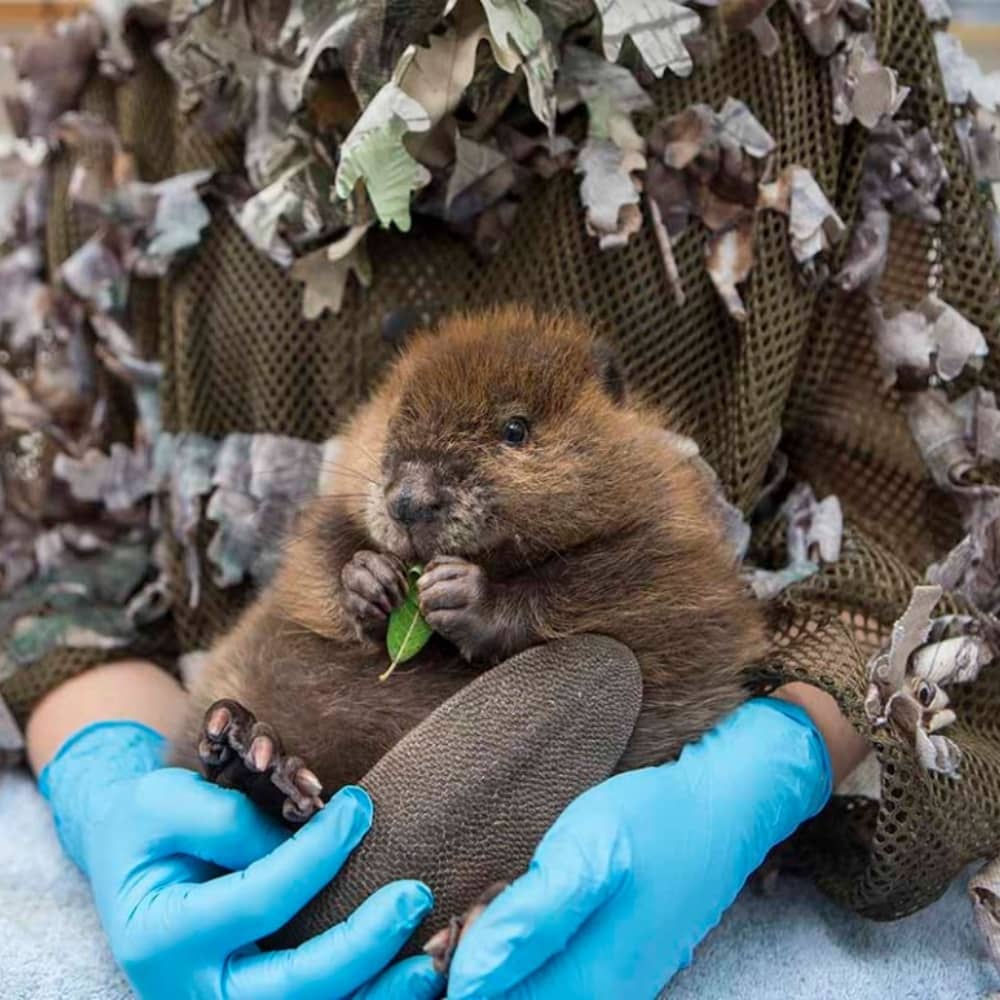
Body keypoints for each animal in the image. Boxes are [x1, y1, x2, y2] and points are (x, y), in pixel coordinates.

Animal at [172, 308, 764, 832]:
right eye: (396, 418)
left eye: (515, 428)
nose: (409, 500)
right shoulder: (327, 519)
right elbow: (314, 563)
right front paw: (370, 578)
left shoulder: (674, 548)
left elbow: (635, 601)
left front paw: (461, 595)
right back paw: (247, 749)